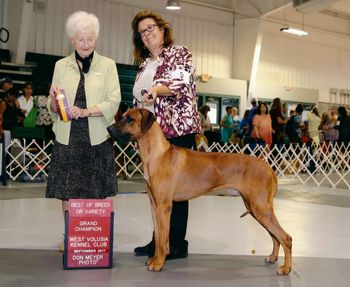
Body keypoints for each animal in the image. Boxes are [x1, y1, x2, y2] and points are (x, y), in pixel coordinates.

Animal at [107, 109, 292, 276]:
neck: (156, 154)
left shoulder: (164, 206)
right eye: (122, 116)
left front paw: (158, 264)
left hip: (260, 208)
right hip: (256, 208)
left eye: (130, 119)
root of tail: (268, 167)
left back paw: (286, 268)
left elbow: (163, 240)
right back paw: (273, 257)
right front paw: (154, 260)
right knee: (275, 236)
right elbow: (158, 237)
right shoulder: (154, 205)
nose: (109, 129)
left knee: (286, 238)